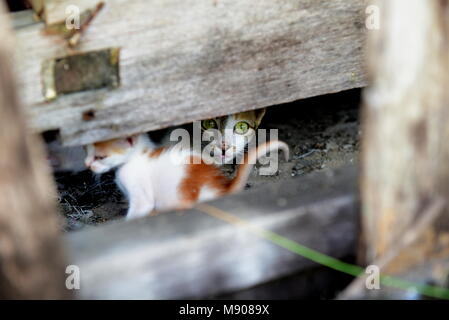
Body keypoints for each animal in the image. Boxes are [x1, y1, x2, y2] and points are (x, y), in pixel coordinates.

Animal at [84, 132, 288, 220]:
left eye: (100, 157)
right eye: (85, 150)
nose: (87, 164)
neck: (134, 158)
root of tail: (221, 187)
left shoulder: (141, 198)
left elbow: (137, 212)